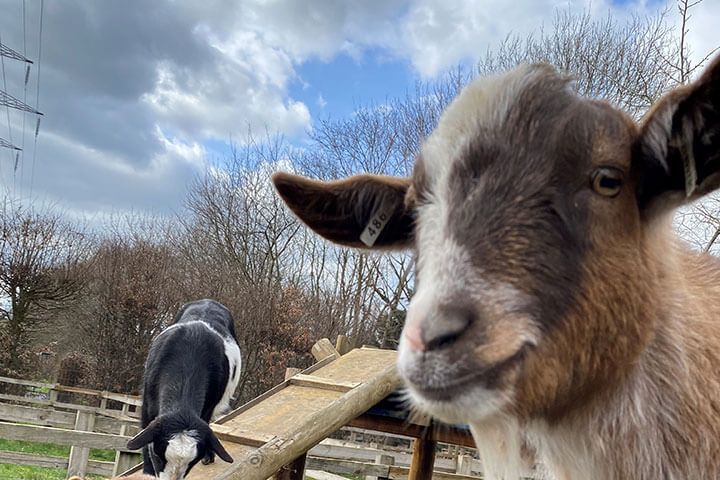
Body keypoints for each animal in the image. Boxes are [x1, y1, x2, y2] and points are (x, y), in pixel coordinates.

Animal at [127, 298, 242, 478]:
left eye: (192, 463)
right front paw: (147, 472)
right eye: (158, 456)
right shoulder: (147, 407)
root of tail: (209, 301)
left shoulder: (208, 406)